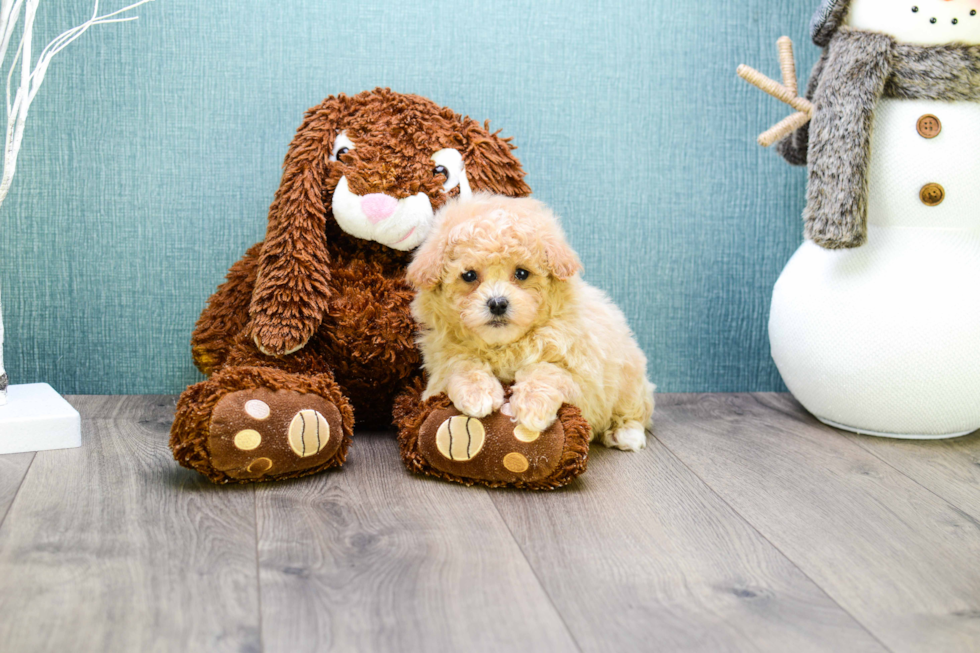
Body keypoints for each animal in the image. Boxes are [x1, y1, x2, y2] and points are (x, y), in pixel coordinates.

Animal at [402, 191, 656, 450]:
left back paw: (626, 433)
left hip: (629, 377)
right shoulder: (440, 365)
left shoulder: (584, 376)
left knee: (636, 410)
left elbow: (546, 371)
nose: (497, 303)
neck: (504, 346)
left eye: (522, 273)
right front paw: (478, 394)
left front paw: (533, 408)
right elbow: (461, 364)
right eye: (469, 275)